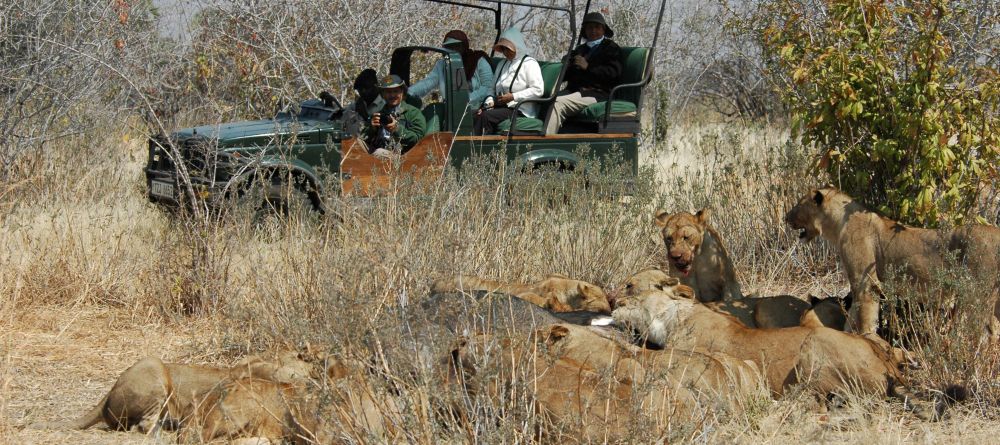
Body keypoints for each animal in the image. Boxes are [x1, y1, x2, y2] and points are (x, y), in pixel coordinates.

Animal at [608, 286, 952, 418]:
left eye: (632, 290)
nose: (613, 301)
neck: (670, 317)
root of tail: (890, 370)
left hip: (813, 342)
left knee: (818, 402)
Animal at [784, 186, 996, 338]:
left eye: (799, 204)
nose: (786, 217)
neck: (837, 226)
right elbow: (851, 315)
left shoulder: (866, 282)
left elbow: (864, 315)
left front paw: (865, 338)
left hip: (977, 297)